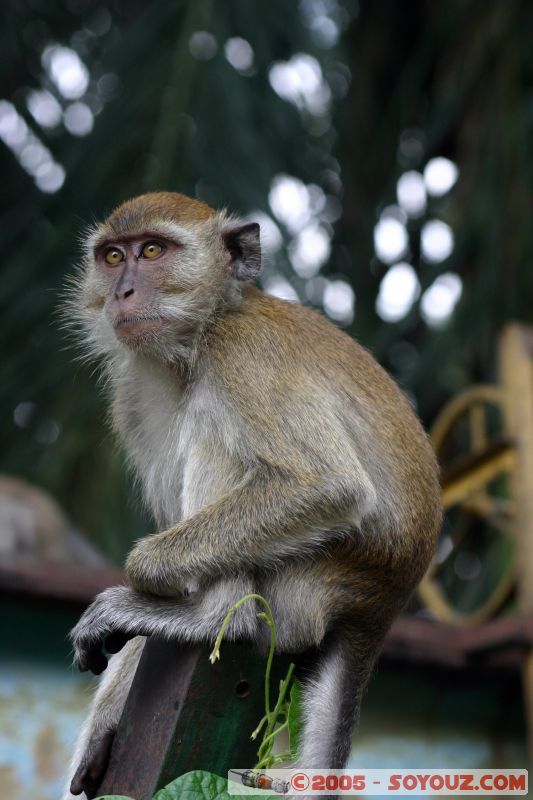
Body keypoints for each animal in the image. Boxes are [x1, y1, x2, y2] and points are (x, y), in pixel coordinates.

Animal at [62, 191, 441, 799]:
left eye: (153, 251)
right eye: (113, 257)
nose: (123, 292)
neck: (199, 334)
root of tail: (382, 604)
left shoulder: (239, 352)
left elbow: (325, 484)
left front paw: (145, 577)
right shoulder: (133, 394)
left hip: (309, 587)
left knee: (212, 429)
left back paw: (213, 615)